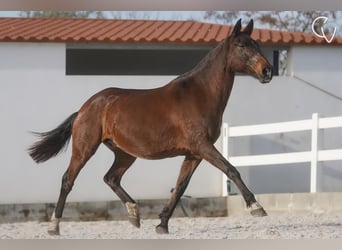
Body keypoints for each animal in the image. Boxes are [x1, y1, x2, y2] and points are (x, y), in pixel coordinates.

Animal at [27, 18, 272, 235]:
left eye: (258, 44)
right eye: (242, 45)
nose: (267, 71)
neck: (200, 95)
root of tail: (85, 107)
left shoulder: (194, 153)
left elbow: (180, 186)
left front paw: (162, 224)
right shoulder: (202, 146)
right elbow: (231, 169)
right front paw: (256, 207)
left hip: (125, 153)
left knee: (111, 178)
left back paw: (134, 215)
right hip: (85, 148)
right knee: (68, 180)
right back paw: (54, 227)